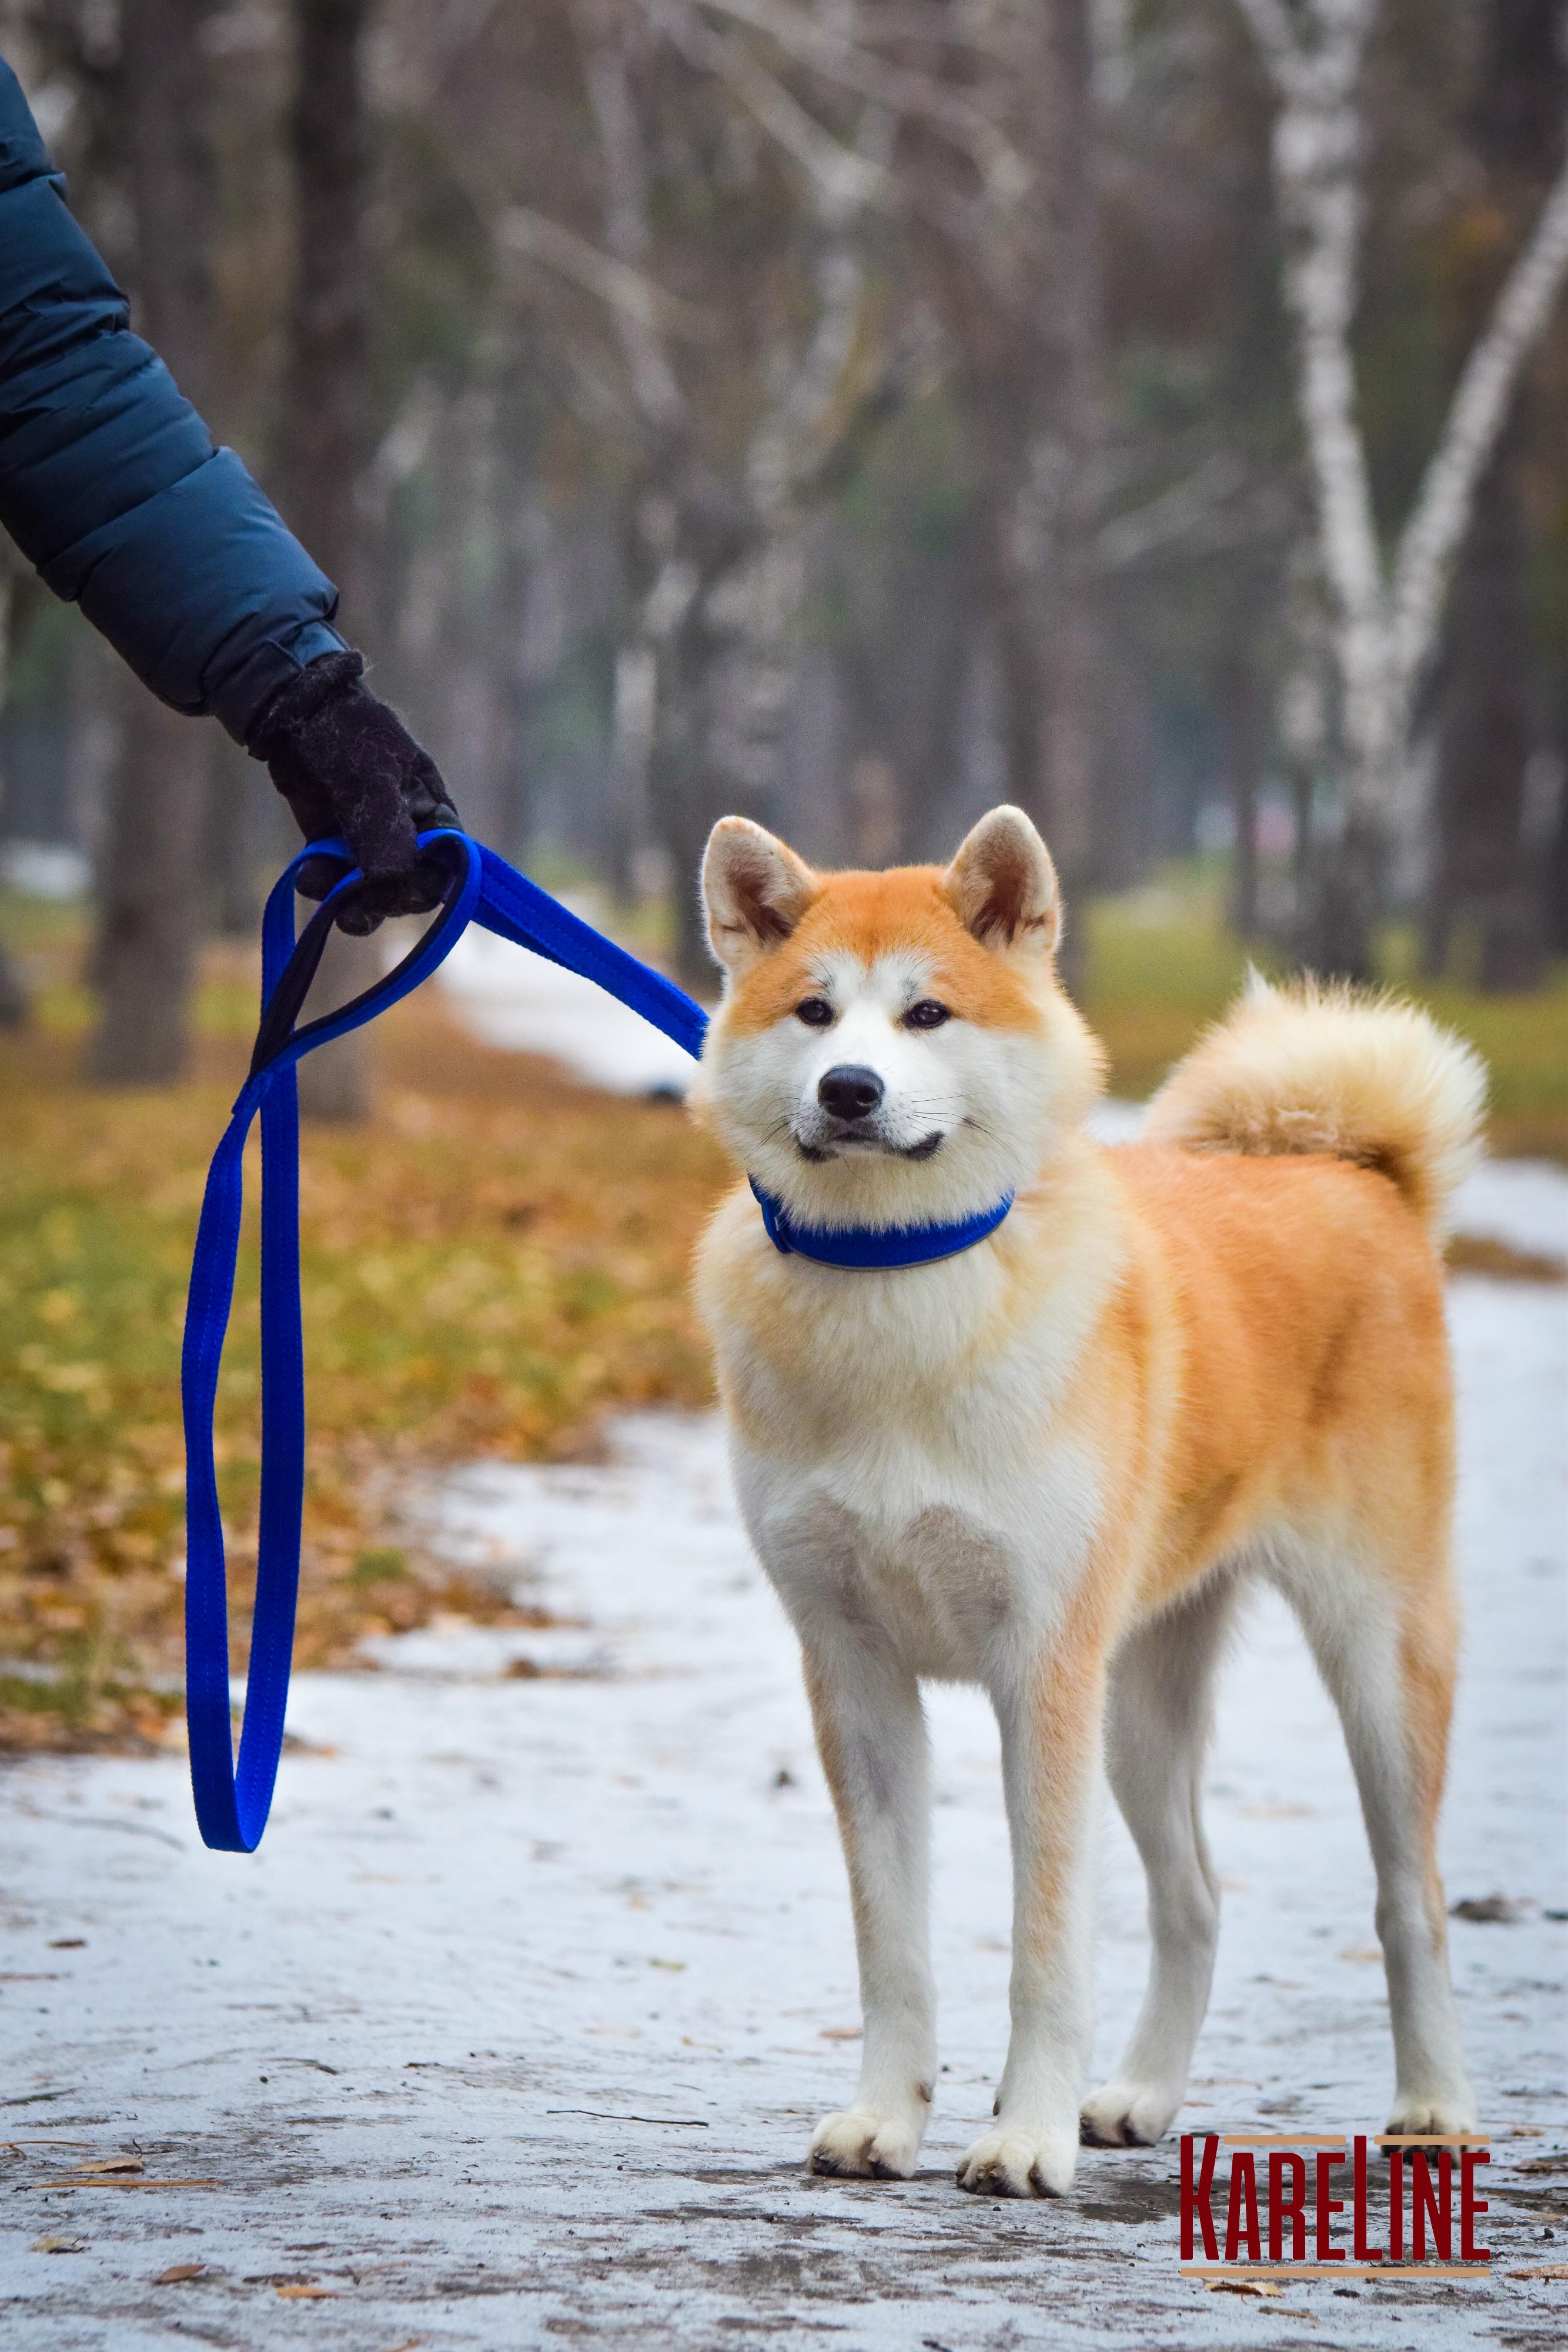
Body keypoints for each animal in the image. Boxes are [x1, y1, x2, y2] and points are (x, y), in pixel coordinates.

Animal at [691, 809, 1495, 2201]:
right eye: (812, 1012)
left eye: (926, 1012)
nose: (848, 1090)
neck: (898, 1284)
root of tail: (1350, 1169)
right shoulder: (852, 1670)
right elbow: (891, 1940)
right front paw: (887, 2118)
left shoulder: (1041, 1672)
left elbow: (1045, 1938)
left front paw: (1024, 2135)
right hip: (1142, 1702)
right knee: (1196, 1899)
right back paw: (1139, 2097)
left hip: (1375, 1658)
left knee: (1411, 1897)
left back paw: (1433, 2104)